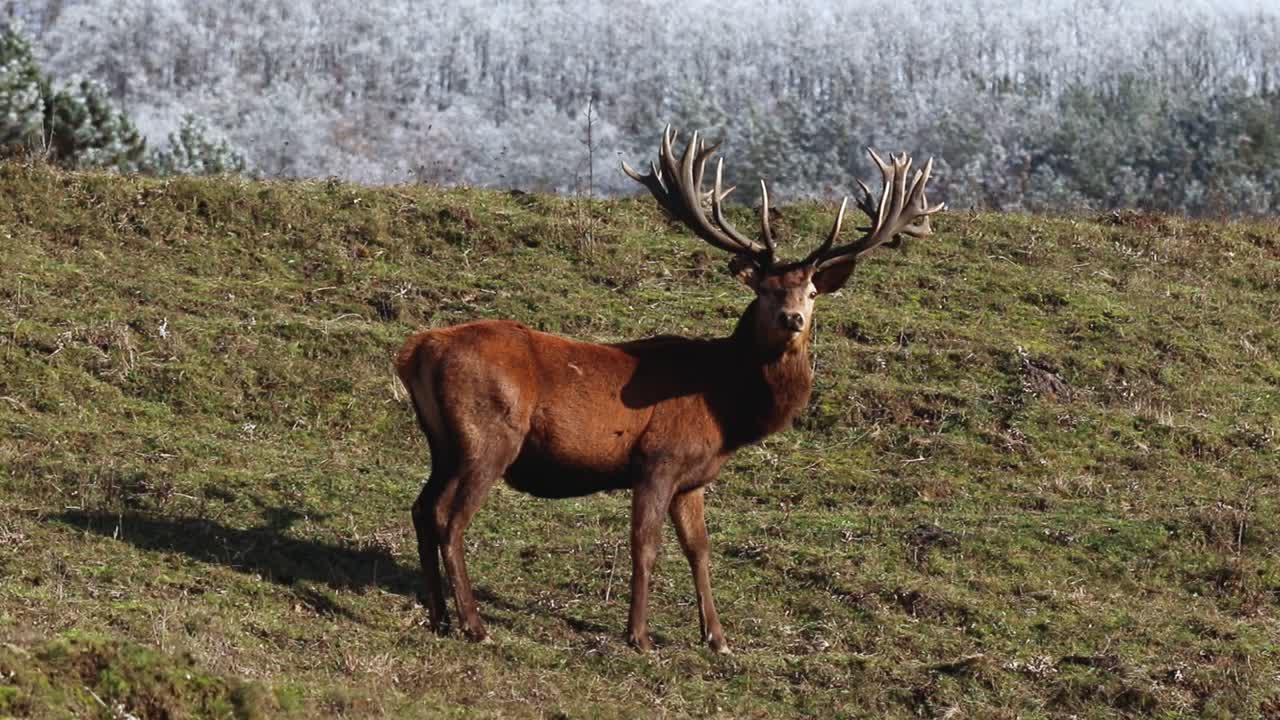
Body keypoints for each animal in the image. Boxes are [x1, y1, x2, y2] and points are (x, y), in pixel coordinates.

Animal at [395, 126, 944, 652]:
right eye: (766, 289)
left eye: (810, 291)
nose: (793, 319)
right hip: (489, 436)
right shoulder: (658, 459)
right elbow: (645, 545)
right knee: (451, 520)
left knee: (423, 509)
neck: (725, 408)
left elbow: (699, 549)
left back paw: (439, 616)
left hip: (442, 442)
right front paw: (639, 636)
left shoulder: (693, 478)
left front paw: (718, 638)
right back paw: (474, 625)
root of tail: (418, 348)